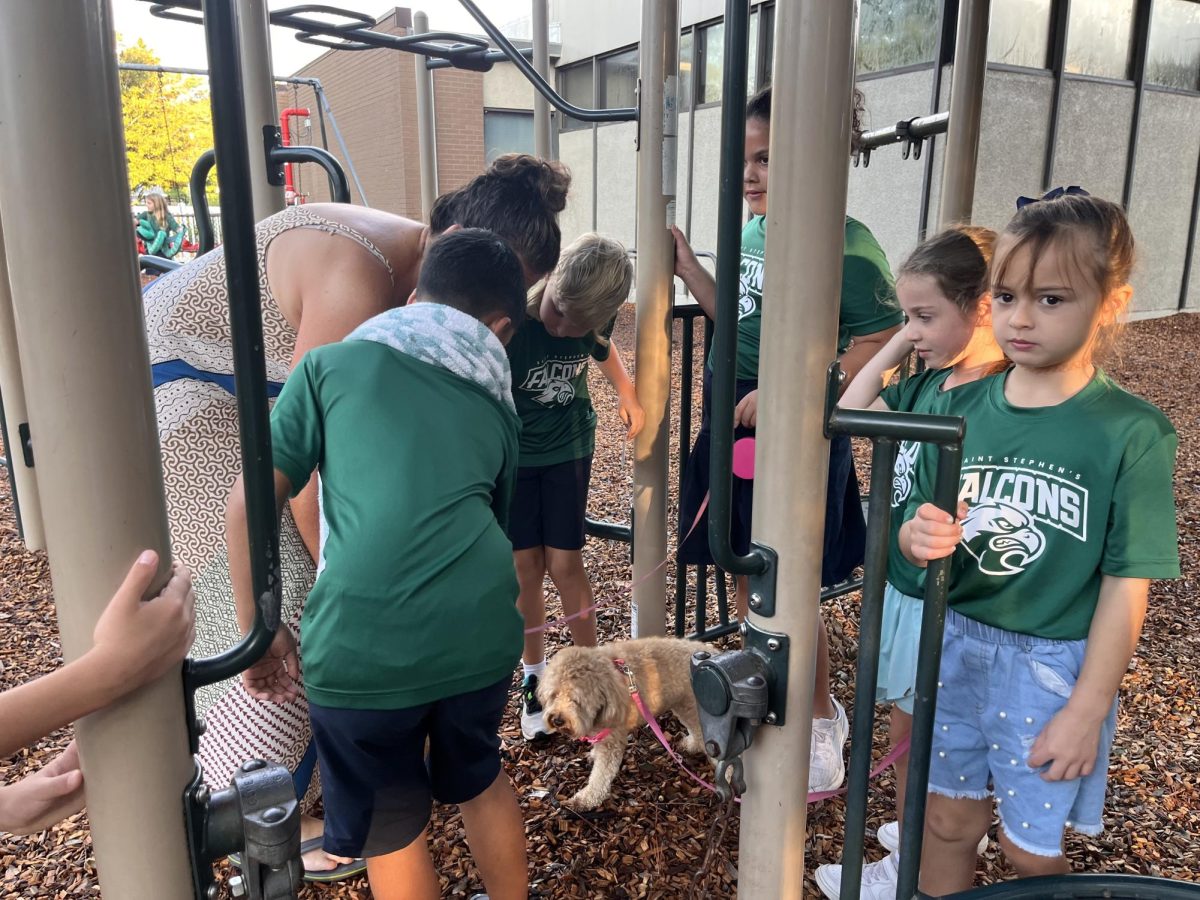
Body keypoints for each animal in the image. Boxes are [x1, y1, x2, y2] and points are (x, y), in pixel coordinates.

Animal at [537, 638, 710, 816]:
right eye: (554, 695)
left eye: (576, 700)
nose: (557, 720)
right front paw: (593, 754)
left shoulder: (611, 741)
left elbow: (601, 775)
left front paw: (586, 799)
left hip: (692, 707)